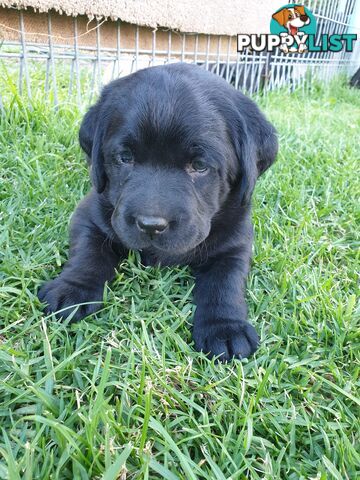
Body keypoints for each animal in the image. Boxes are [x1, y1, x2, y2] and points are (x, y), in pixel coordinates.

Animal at [38, 62, 278, 360]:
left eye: (200, 165)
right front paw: (73, 288)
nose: (150, 224)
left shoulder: (237, 239)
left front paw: (224, 327)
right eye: (125, 158)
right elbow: (88, 253)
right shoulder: (89, 213)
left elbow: (226, 279)